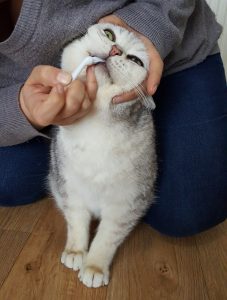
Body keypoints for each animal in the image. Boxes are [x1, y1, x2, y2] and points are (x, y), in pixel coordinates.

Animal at [48, 24, 157, 288]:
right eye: (109, 34)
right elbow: (76, 223)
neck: (97, 124)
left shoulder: (126, 202)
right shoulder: (70, 188)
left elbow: (107, 238)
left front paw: (94, 266)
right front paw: (76, 252)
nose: (115, 50)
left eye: (135, 60)